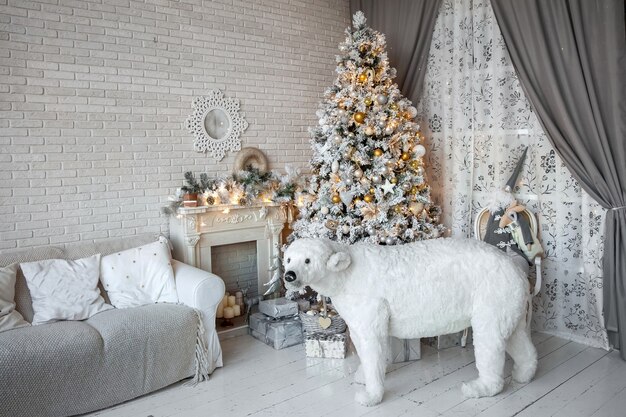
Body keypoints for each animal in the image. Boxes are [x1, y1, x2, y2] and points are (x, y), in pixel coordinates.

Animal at [282, 237, 536, 406]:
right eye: (289, 259)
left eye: (307, 260)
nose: (289, 275)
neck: (346, 274)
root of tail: (518, 269)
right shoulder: (355, 309)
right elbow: (363, 341)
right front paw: (362, 376)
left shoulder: (369, 301)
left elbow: (373, 342)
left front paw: (370, 396)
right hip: (508, 300)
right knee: (515, 336)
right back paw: (524, 373)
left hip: (491, 292)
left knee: (489, 339)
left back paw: (479, 387)